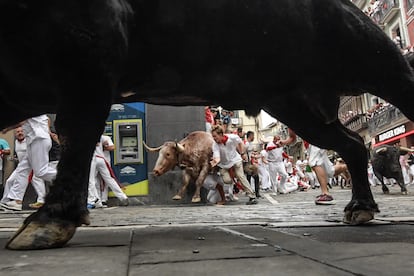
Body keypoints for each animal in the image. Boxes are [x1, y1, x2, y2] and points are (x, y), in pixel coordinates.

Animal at [0, 0, 414, 250]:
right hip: (295, 104)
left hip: (381, 65)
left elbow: (76, 139)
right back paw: (360, 207)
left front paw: (48, 221)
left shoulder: (87, 56)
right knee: (353, 144)